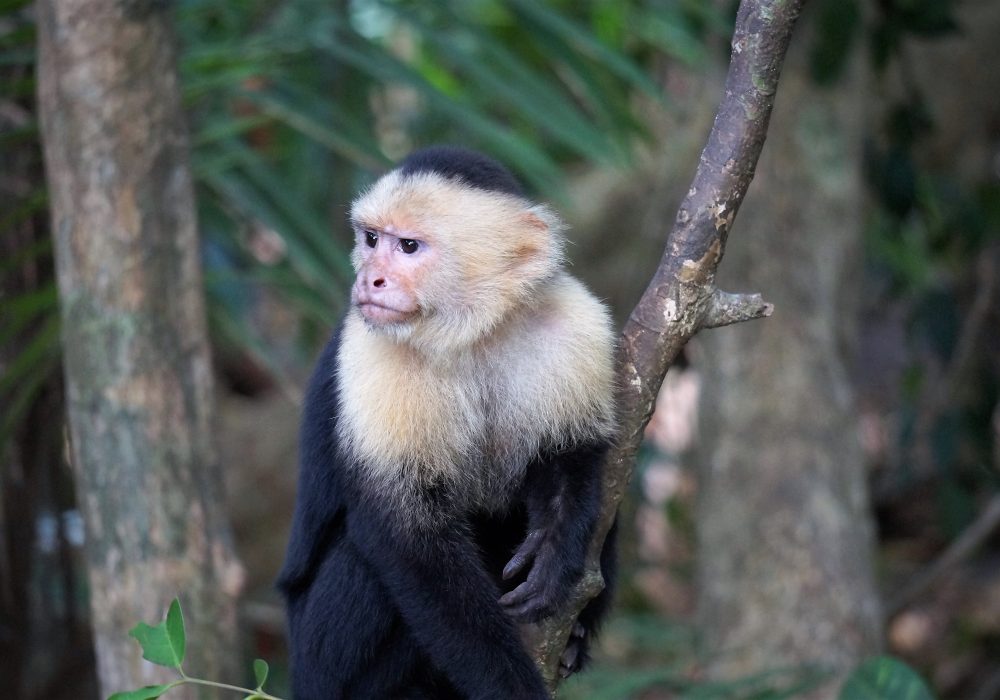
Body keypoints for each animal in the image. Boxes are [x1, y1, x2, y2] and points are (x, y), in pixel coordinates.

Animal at [276, 145, 616, 696]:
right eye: (372, 239)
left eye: (409, 246)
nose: (369, 279)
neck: (468, 333)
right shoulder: (371, 352)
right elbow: (409, 541)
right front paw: (511, 685)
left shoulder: (575, 322)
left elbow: (573, 453)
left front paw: (554, 550)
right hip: (315, 664)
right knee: (365, 564)